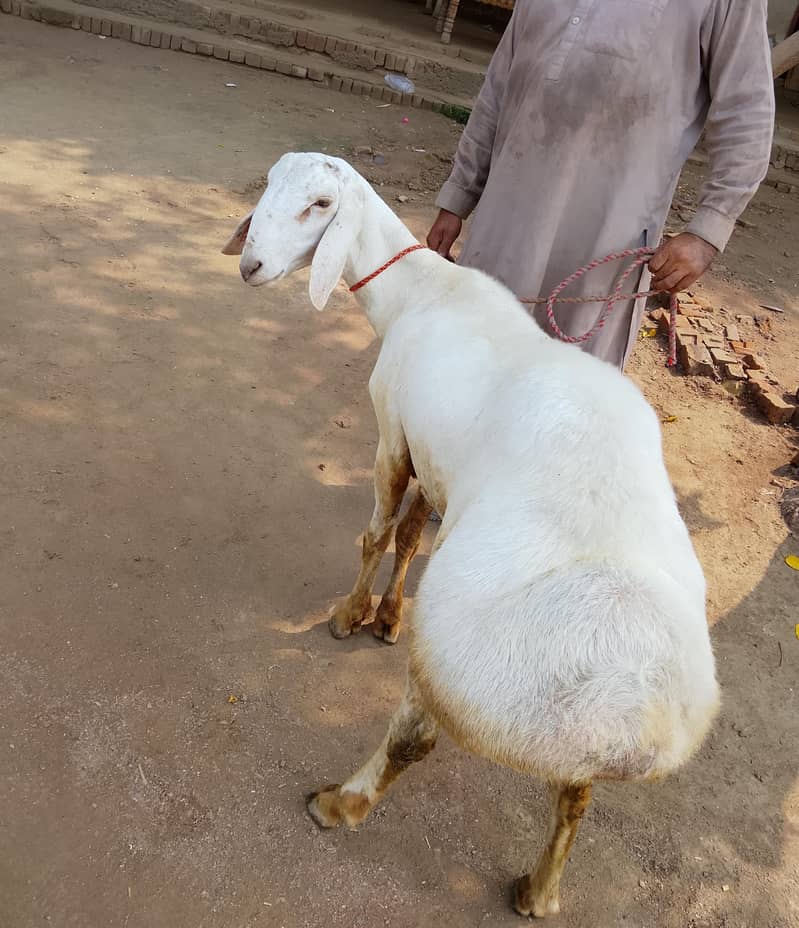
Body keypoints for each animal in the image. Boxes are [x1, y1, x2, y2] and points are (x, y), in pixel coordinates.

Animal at [222, 152, 720, 918]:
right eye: (272, 185)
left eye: (321, 204)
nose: (250, 264)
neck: (420, 293)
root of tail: (633, 723)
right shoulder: (436, 457)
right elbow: (407, 538)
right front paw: (385, 617)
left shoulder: (392, 431)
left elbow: (376, 536)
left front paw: (348, 616)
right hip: (572, 755)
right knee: (574, 800)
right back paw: (540, 891)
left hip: (453, 670)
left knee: (409, 742)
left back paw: (339, 804)